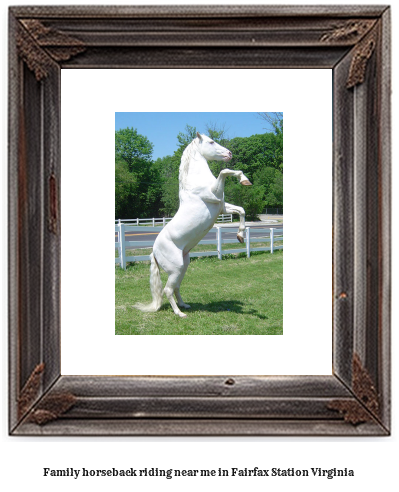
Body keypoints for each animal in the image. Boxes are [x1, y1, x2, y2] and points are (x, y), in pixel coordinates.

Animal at [136, 133, 252, 318]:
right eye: (211, 142)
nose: (229, 153)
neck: (196, 183)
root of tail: (154, 251)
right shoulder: (215, 196)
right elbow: (224, 171)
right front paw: (244, 179)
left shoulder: (221, 207)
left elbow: (241, 210)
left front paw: (240, 236)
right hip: (176, 269)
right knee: (168, 290)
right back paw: (179, 313)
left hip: (184, 265)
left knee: (176, 287)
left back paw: (185, 305)